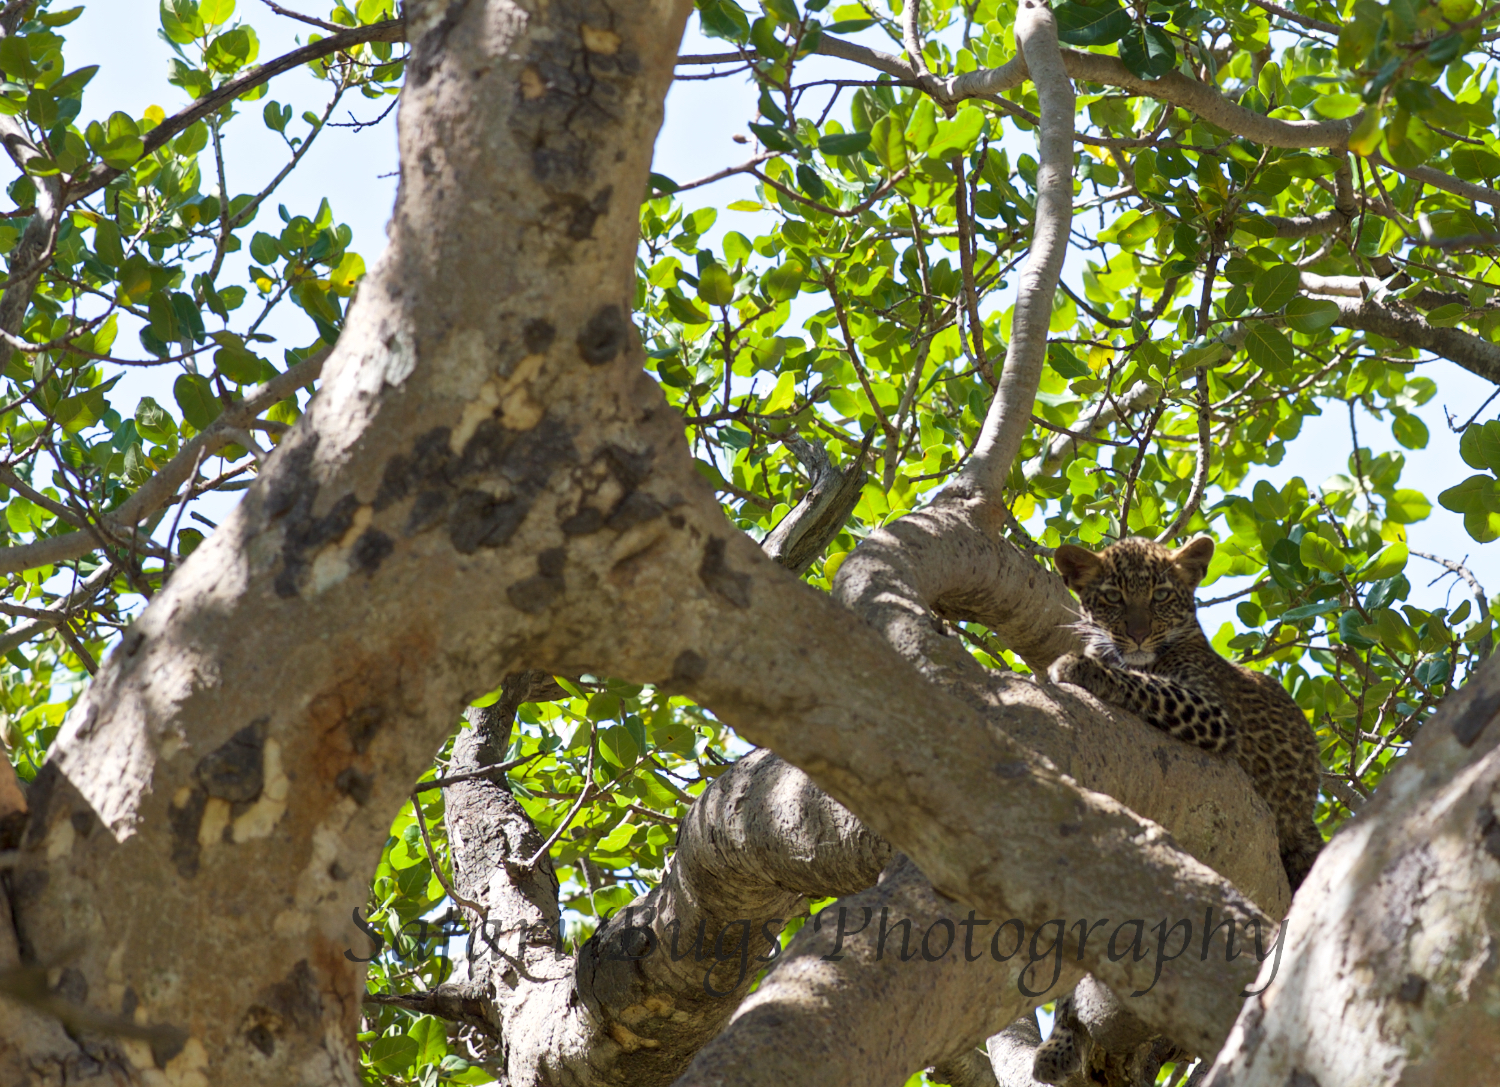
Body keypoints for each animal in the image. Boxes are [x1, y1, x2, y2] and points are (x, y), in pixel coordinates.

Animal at [1032, 530, 1326, 1079]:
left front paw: (1081, 666)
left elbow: (1146, 684)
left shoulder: (1211, 713)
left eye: (1161, 596)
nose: (1138, 635)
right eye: (1113, 597)